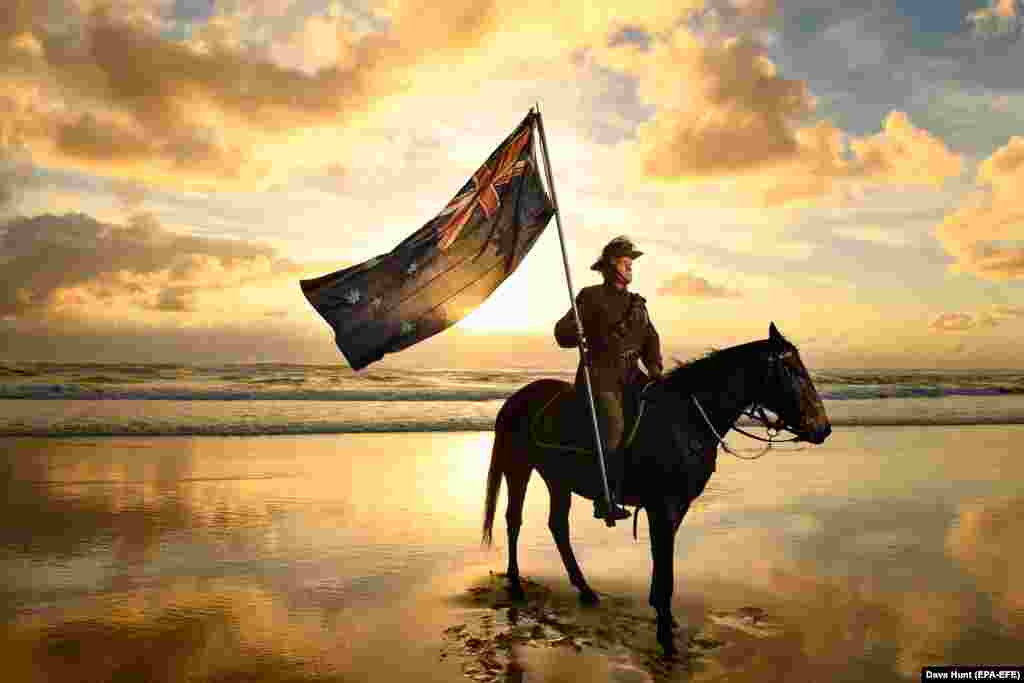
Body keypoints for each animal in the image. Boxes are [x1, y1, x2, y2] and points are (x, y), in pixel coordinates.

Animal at [481, 323, 831, 655]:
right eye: (793, 370)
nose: (823, 428)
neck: (688, 419)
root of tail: (515, 399)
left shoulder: (675, 508)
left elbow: (663, 561)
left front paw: (664, 616)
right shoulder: (663, 506)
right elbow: (664, 566)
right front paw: (665, 631)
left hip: (558, 479)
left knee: (557, 526)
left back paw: (585, 589)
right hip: (518, 468)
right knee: (514, 520)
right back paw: (516, 584)